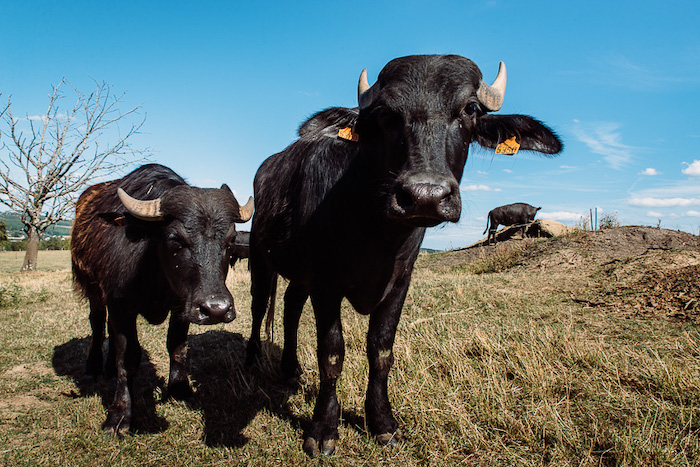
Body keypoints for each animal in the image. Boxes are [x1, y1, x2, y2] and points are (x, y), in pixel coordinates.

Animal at [68, 165, 253, 436]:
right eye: (175, 238)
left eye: (230, 242)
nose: (216, 310)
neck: (153, 271)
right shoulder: (121, 306)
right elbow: (128, 358)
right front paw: (120, 414)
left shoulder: (183, 306)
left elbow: (176, 345)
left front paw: (180, 389)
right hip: (93, 289)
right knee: (98, 323)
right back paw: (94, 368)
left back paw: (109, 368)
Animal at [246, 54, 564, 458]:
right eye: (385, 113)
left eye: (470, 109)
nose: (425, 195)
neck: (375, 231)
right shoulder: (325, 282)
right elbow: (331, 353)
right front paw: (323, 429)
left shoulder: (399, 281)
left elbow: (381, 351)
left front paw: (382, 423)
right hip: (259, 255)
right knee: (259, 306)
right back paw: (252, 359)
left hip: (300, 275)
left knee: (289, 307)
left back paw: (290, 369)